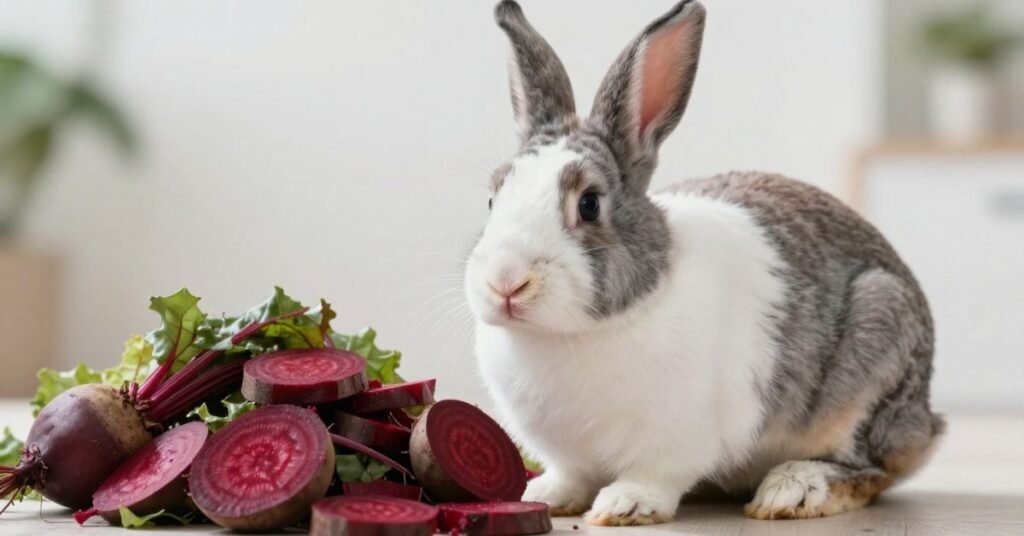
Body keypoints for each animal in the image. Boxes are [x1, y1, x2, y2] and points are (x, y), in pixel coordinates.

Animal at [463, 0, 943, 526]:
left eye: (588, 205)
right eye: (492, 199)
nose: (506, 282)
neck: (570, 335)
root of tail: (927, 420)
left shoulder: (678, 439)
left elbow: (655, 474)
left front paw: (625, 505)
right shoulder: (568, 455)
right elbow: (571, 474)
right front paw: (544, 495)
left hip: (876, 348)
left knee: (869, 468)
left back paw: (792, 491)